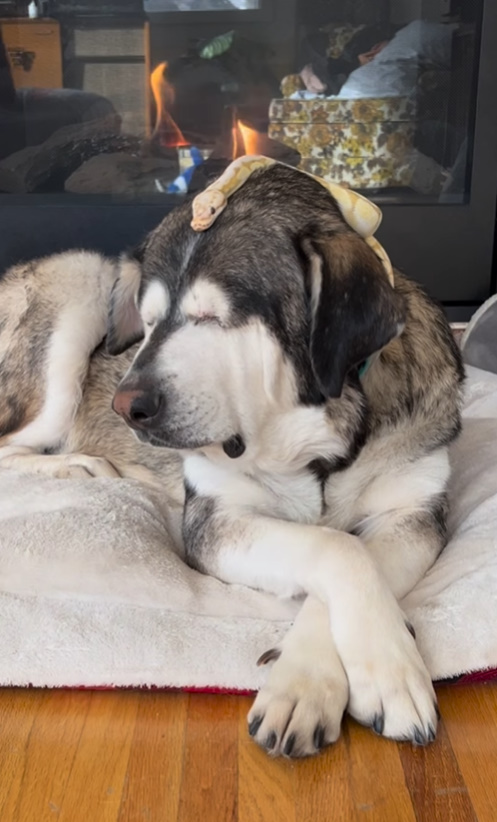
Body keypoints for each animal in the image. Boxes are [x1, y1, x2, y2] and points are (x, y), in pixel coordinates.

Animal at [0, 164, 462, 764]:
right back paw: (77, 467)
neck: (316, 437)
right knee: (11, 445)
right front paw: (363, 676)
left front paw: (333, 673)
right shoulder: (215, 519)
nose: (126, 407)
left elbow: (355, 553)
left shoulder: (413, 512)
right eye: (148, 322)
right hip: (76, 296)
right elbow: (337, 547)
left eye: (213, 317)